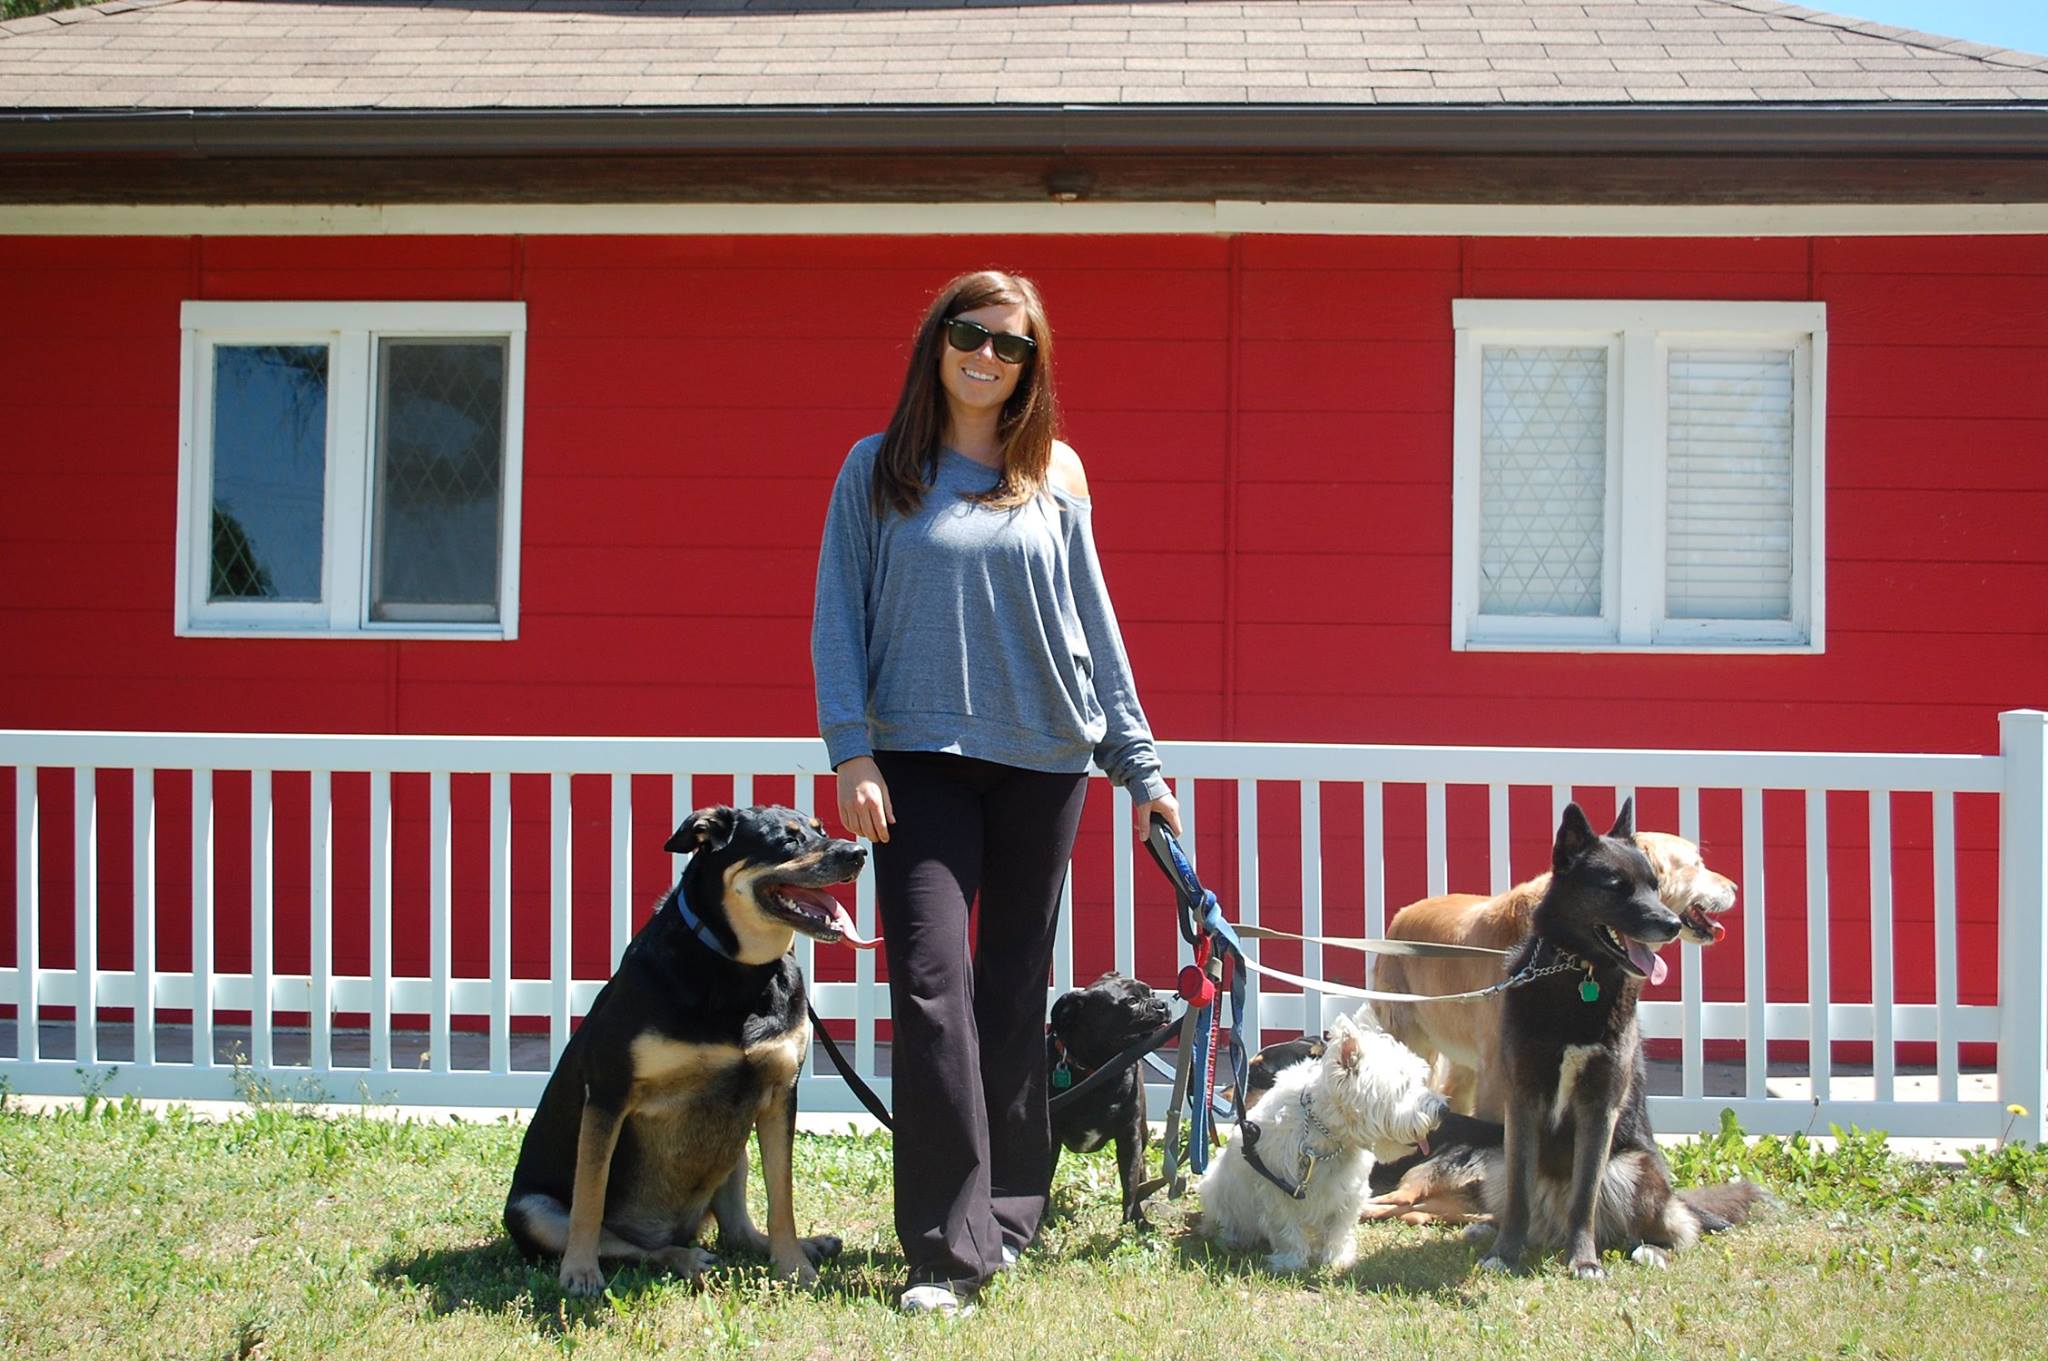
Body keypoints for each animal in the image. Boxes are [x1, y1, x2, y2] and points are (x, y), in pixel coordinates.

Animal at [503, 804, 878, 1295]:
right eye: (787, 840)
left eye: (822, 829)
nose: (858, 853)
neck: (736, 967)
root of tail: (673, 1229)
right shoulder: (607, 1094)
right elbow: (589, 1197)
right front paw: (579, 1273)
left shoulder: (780, 1095)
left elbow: (782, 1197)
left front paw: (794, 1267)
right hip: (530, 1210)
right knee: (632, 1246)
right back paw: (683, 1259)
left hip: (735, 1145)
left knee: (736, 1231)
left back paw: (805, 1246)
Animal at [1047, 971, 1173, 1221]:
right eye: (1132, 1002)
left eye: (1152, 992)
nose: (1161, 1004)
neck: (1100, 1072)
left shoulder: (1130, 1135)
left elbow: (1131, 1181)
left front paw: (1135, 1217)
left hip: (1143, 1131)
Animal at [1197, 1012, 1445, 1273]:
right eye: (1403, 1086)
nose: (1443, 1110)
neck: (1326, 1137)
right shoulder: (1277, 1188)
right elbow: (1287, 1229)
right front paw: (1291, 1262)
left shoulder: (1349, 1192)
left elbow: (1339, 1229)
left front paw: (1337, 1259)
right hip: (1213, 1185)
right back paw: (1233, 1238)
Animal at [1465, 800, 1762, 1278]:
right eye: (1617, 887)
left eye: (1655, 886)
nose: (1671, 924)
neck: (1578, 975)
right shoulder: (1522, 1100)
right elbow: (1518, 1197)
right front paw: (1505, 1252)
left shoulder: (1599, 1106)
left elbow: (1584, 1196)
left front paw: (1584, 1261)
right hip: (1497, 1154)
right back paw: (1488, 1230)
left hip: (1634, 1168)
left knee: (1671, 1227)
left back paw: (1648, 1249)